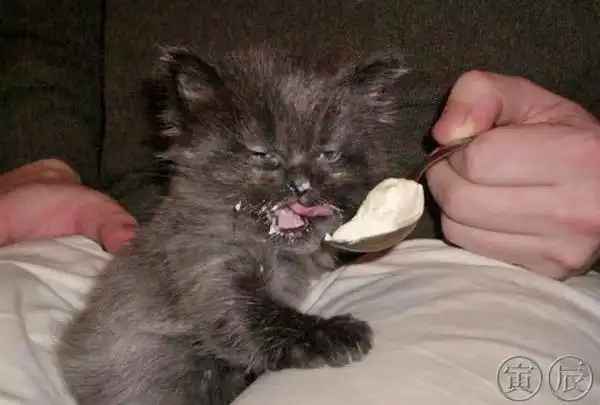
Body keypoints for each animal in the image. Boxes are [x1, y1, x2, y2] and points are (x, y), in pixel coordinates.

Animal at [56, 44, 413, 405]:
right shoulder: (207, 271)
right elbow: (256, 318)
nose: (300, 184)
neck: (271, 250)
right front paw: (333, 333)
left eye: (328, 154)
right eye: (263, 154)